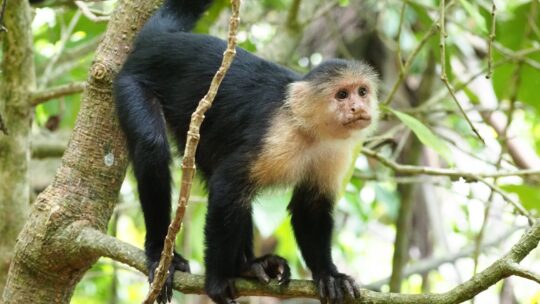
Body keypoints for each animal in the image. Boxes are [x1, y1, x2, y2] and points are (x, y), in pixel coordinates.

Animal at [113, 0, 380, 304]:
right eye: (342, 95)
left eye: (362, 91)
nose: (358, 108)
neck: (309, 130)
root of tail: (162, 40)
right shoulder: (277, 137)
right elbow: (226, 185)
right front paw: (216, 280)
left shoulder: (336, 151)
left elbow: (310, 207)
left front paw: (329, 275)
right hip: (131, 83)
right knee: (153, 147)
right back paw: (161, 254)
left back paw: (247, 267)